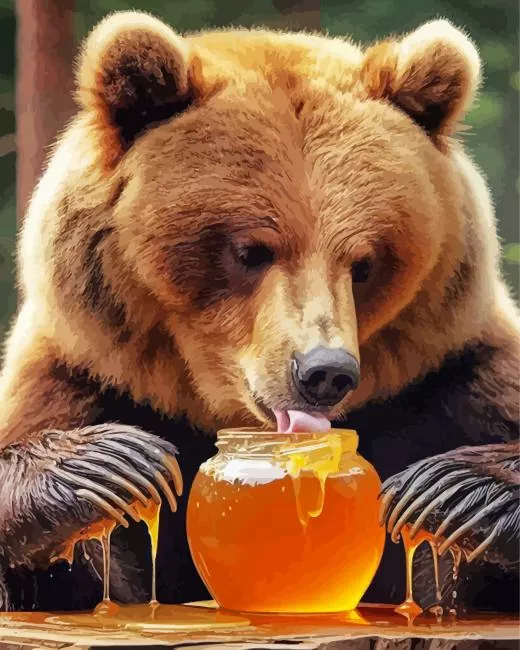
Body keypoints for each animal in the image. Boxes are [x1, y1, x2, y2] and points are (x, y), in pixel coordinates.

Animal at [0, 11, 518, 615]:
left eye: (364, 262)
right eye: (249, 251)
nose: (324, 372)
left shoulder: (450, 378)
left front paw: (453, 492)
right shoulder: (80, 376)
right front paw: (111, 466)